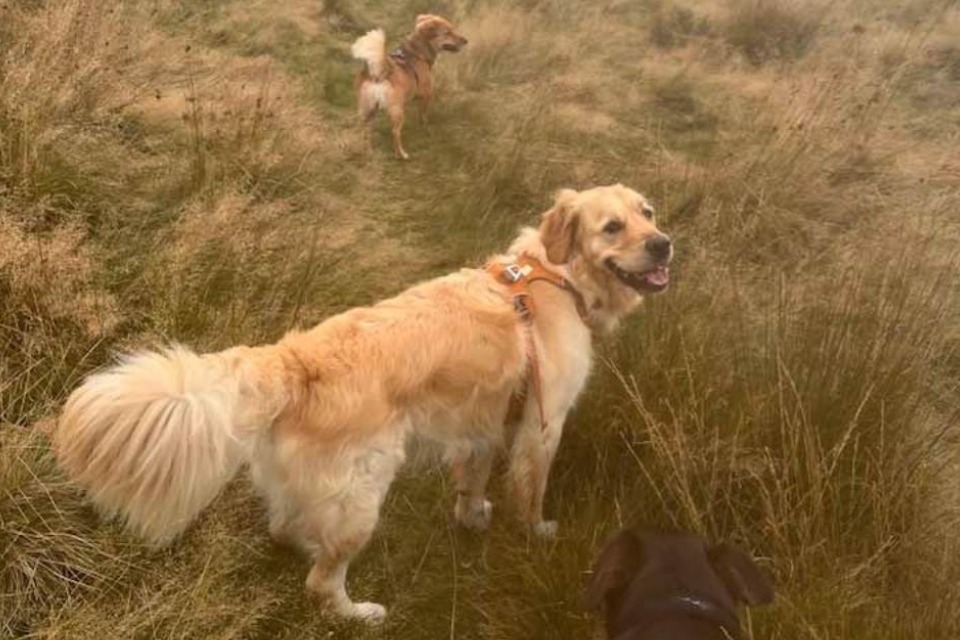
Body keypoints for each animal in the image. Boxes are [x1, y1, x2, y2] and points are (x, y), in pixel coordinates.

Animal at [56, 182, 672, 624]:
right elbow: (532, 492)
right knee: (321, 584)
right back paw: (359, 612)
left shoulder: (483, 421)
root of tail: (293, 357)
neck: (555, 275)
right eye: (612, 226)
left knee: (285, 527)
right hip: (365, 493)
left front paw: (473, 517)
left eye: (649, 212)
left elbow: (472, 481)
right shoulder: (543, 426)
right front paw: (535, 533)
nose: (664, 242)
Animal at [354, 14, 470, 159]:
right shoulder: (427, 95)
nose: (466, 40)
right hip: (397, 111)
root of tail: (378, 73)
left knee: (364, 130)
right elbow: (423, 114)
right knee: (395, 133)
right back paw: (401, 154)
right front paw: (424, 126)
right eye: (447, 32)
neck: (417, 53)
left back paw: (368, 151)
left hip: (368, 109)